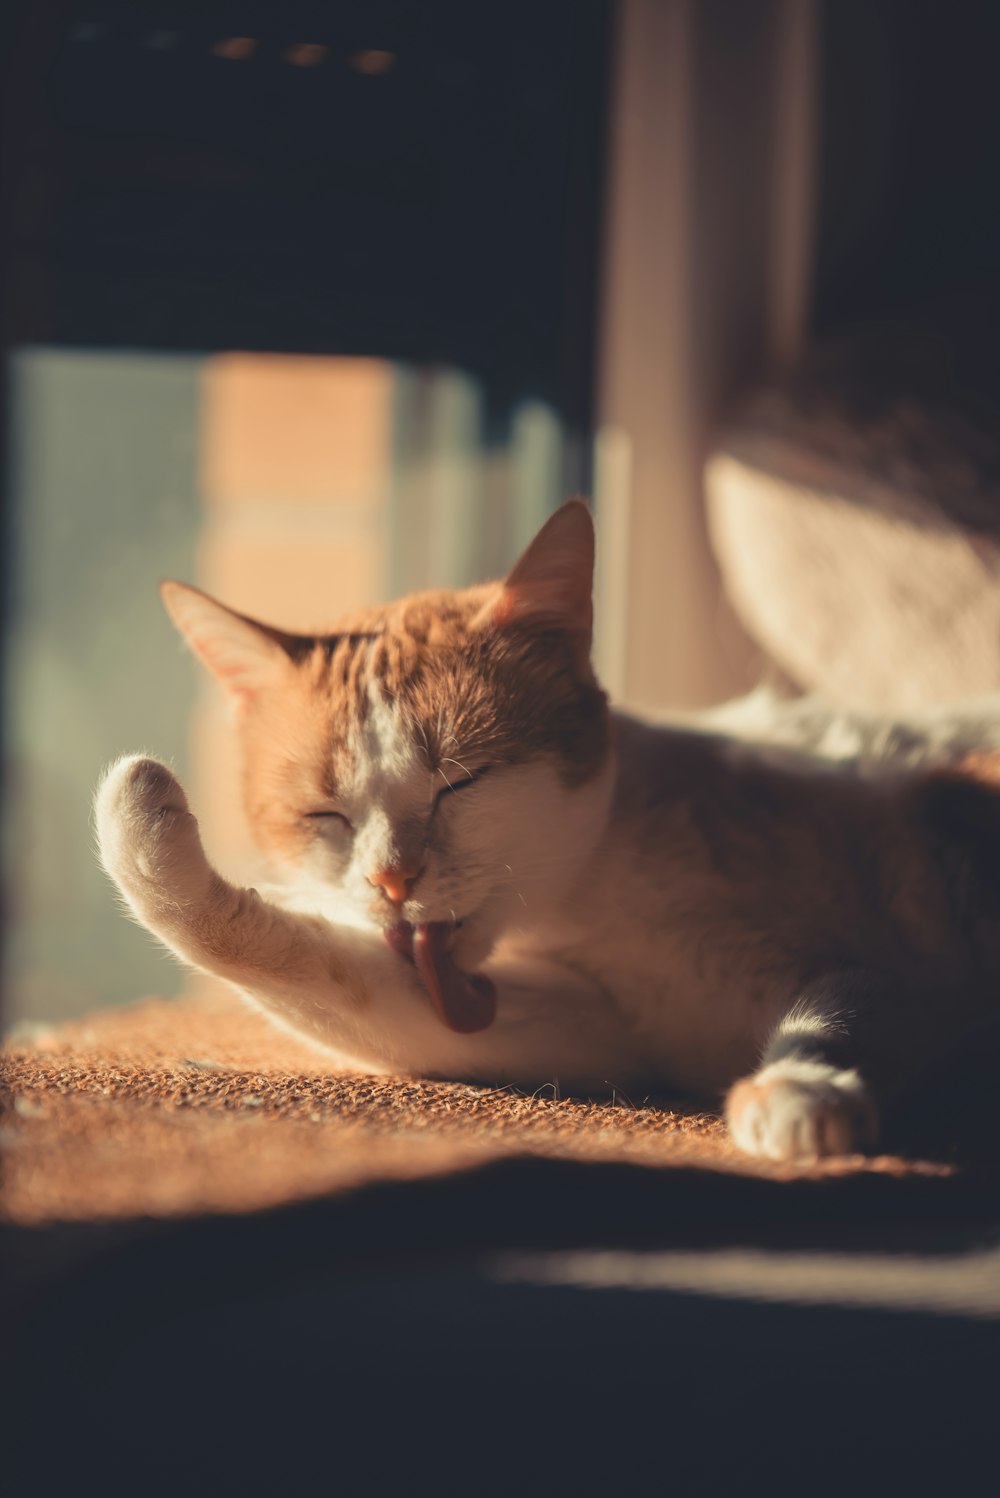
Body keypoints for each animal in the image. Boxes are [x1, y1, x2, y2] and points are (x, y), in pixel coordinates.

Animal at [97, 500, 999, 1156]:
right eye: (325, 814)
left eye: (462, 782)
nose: (393, 880)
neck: (605, 891)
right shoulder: (584, 1032)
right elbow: (299, 959)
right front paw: (139, 827)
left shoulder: (882, 972)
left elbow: (835, 1021)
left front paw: (803, 1095)